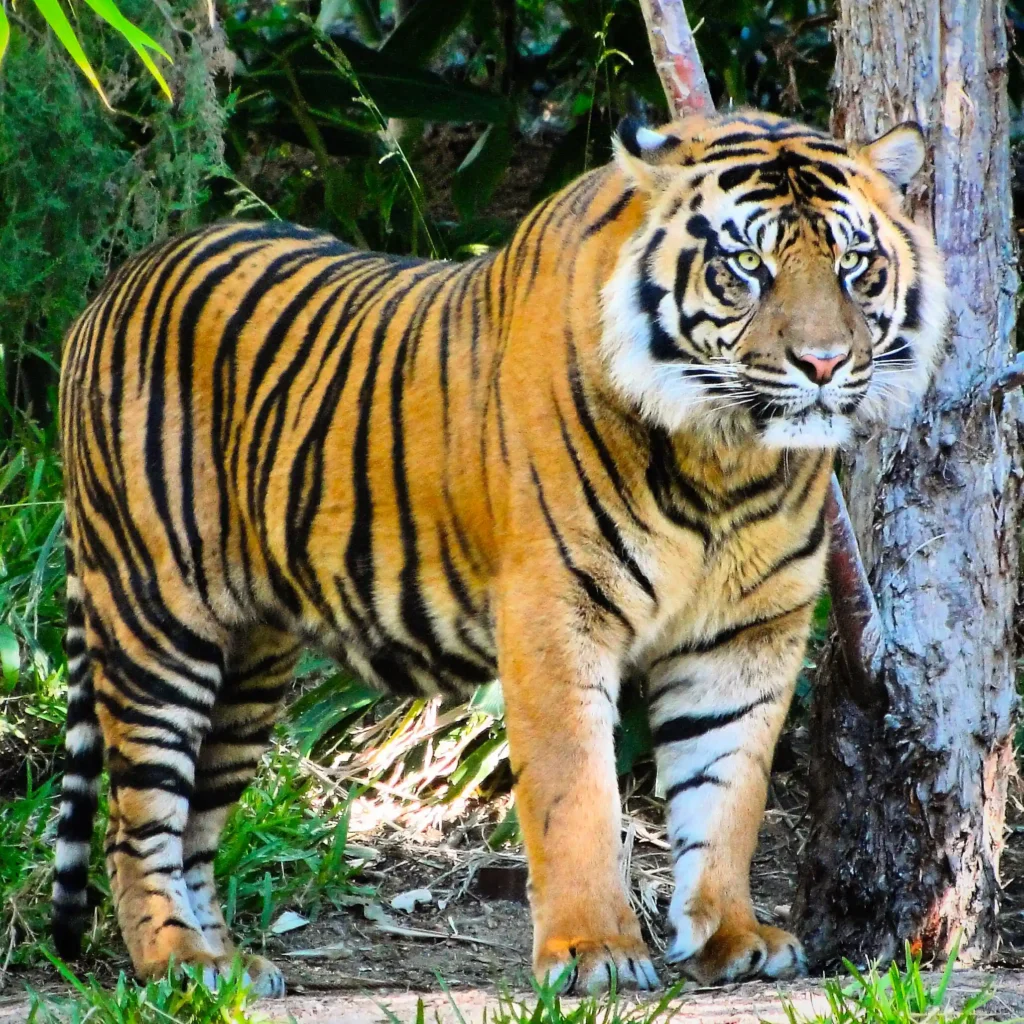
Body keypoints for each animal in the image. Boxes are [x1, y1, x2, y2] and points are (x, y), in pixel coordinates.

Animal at [52, 109, 945, 996]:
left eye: (854, 265)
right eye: (749, 266)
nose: (824, 364)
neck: (727, 459)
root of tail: (111, 287)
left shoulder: (747, 632)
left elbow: (726, 789)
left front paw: (731, 934)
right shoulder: (557, 611)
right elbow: (575, 792)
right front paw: (595, 951)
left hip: (250, 663)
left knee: (196, 819)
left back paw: (229, 966)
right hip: (156, 620)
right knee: (136, 820)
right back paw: (178, 962)